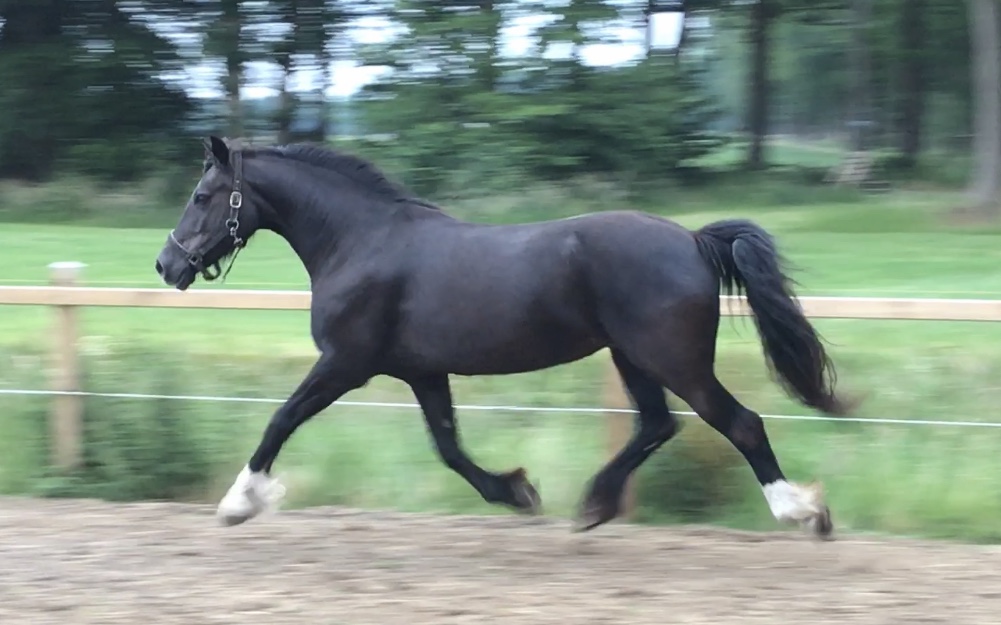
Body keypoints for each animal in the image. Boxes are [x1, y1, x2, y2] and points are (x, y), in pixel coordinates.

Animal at [155, 136, 854, 538]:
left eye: (202, 195)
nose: (166, 265)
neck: (359, 242)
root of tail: (692, 240)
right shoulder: (422, 372)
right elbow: (449, 448)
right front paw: (518, 491)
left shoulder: (344, 363)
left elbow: (279, 420)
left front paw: (239, 502)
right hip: (632, 358)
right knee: (657, 425)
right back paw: (594, 504)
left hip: (673, 361)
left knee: (740, 425)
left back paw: (804, 513)